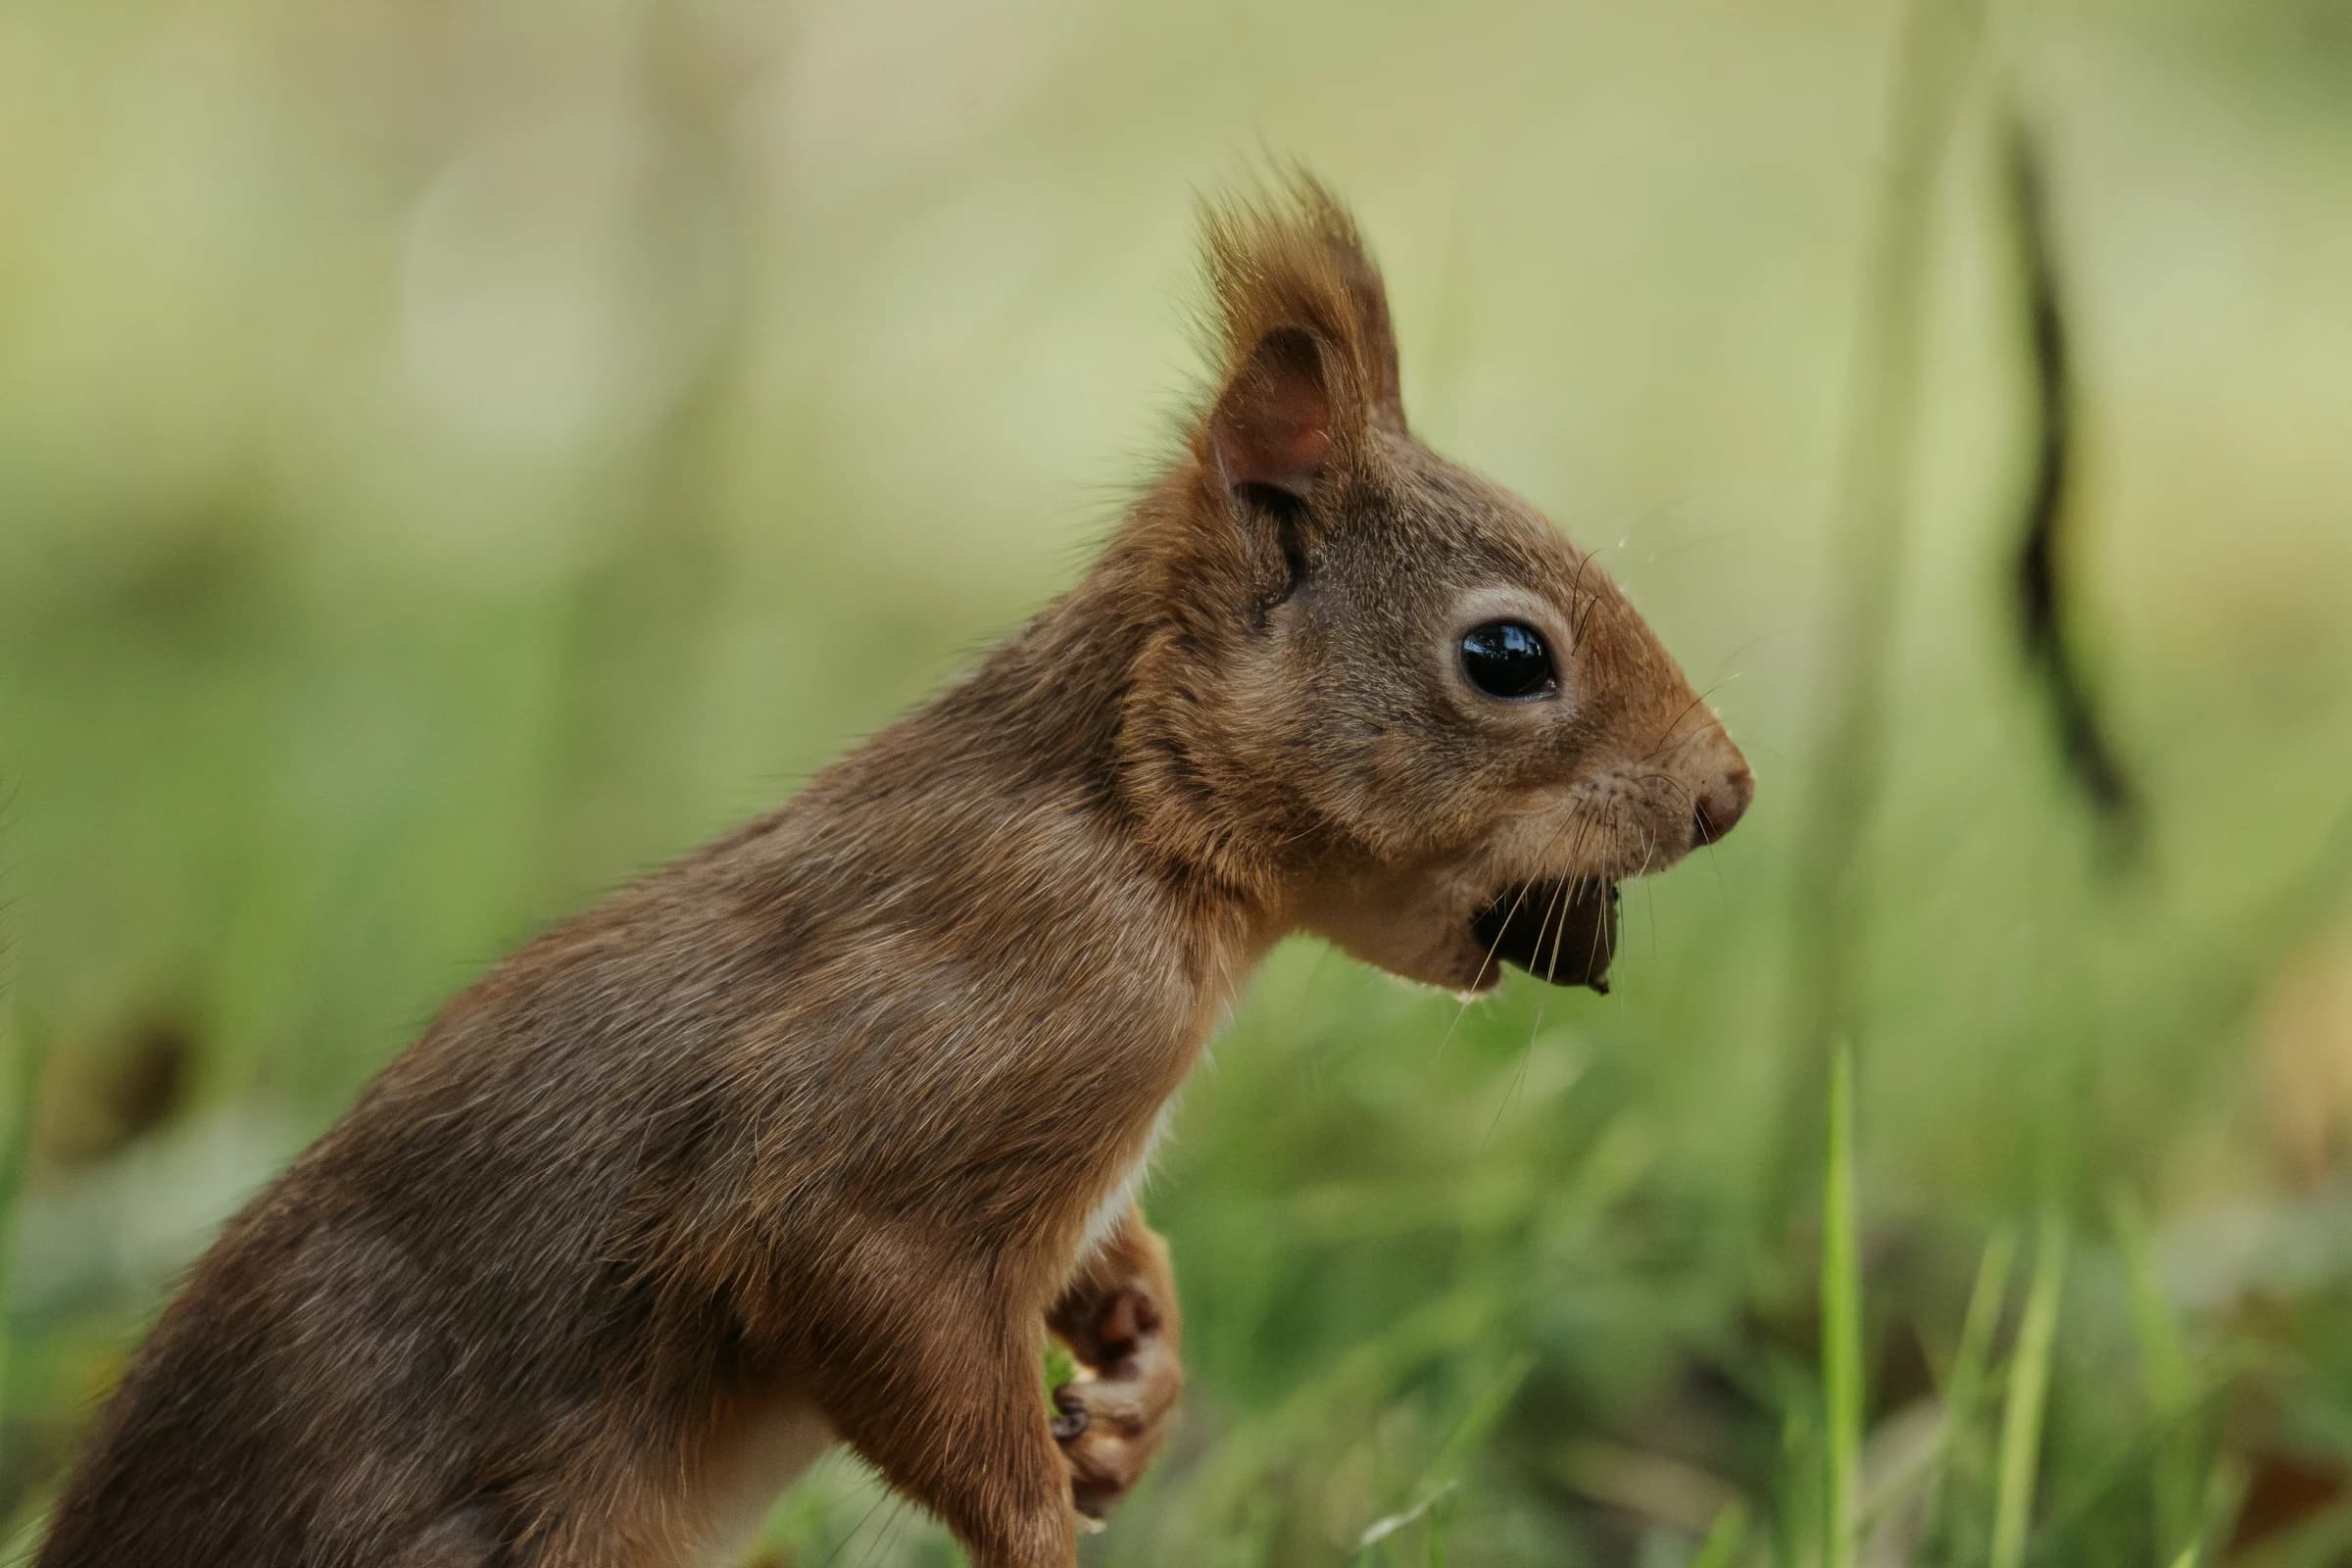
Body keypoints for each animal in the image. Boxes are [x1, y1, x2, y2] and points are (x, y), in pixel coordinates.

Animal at [37, 175, 1752, 1568]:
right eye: (1508, 656)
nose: (1728, 794)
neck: (1131, 825)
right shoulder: (976, 1036)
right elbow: (835, 1262)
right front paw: (1048, 1526)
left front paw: (1140, 1375)